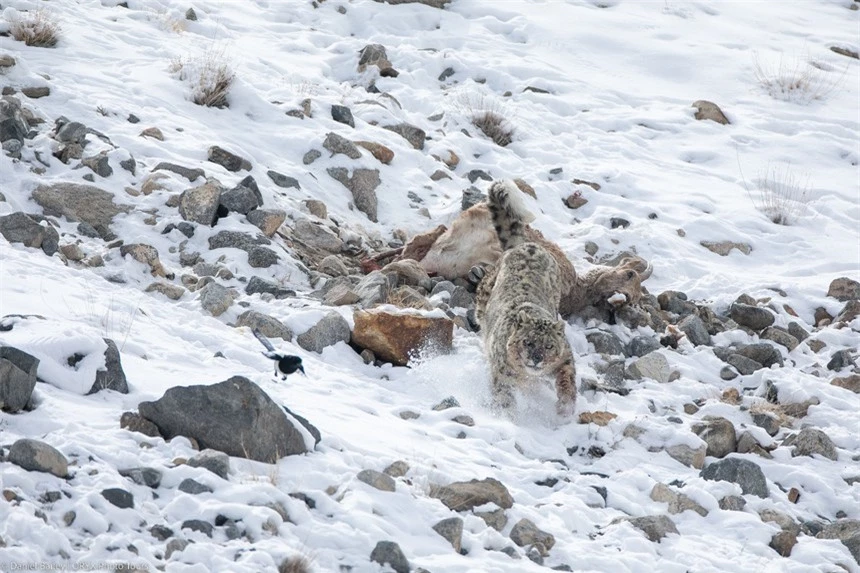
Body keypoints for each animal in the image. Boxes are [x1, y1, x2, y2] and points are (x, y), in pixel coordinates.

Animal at [474, 180, 576, 416]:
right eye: (527, 342)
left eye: (549, 346)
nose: (536, 359)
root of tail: (526, 245)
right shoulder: (502, 374)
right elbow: (504, 396)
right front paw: (507, 416)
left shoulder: (565, 357)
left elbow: (568, 377)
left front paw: (565, 407)